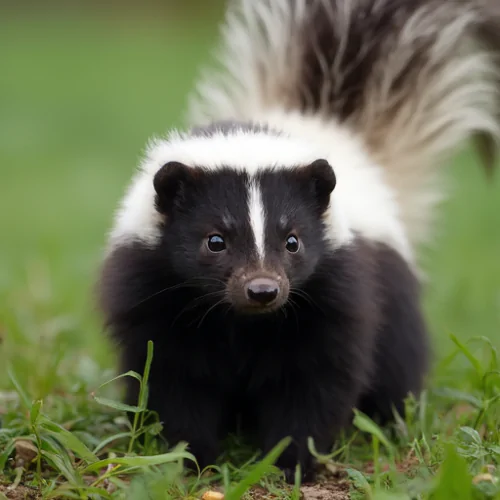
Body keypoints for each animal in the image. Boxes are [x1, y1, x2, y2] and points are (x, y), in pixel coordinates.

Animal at [98, 0, 500, 484]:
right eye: (215, 240)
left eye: (293, 241)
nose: (263, 289)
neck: (240, 322)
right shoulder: (154, 296)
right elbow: (172, 378)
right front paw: (189, 459)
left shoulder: (336, 296)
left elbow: (313, 384)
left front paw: (291, 462)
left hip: (395, 300)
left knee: (398, 367)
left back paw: (390, 425)